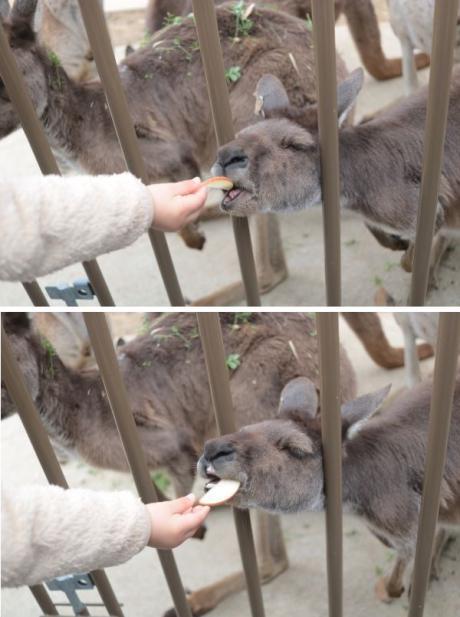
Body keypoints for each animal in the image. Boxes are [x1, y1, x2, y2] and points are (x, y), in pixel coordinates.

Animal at [1, 311, 357, 616]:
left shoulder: (173, 443)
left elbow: (179, 473)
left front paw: (192, 523)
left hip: (255, 399)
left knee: (273, 557)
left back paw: (197, 596)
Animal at [198, 373, 460, 603]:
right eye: (246, 429)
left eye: (295, 449)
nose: (212, 449)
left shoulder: (402, 517)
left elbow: (408, 550)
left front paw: (393, 588)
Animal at [212, 66, 460, 294]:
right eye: (241, 135)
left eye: (293, 145)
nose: (225, 156)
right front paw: (397, 243)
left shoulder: (420, 205)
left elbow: (410, 258)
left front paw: (412, 257)